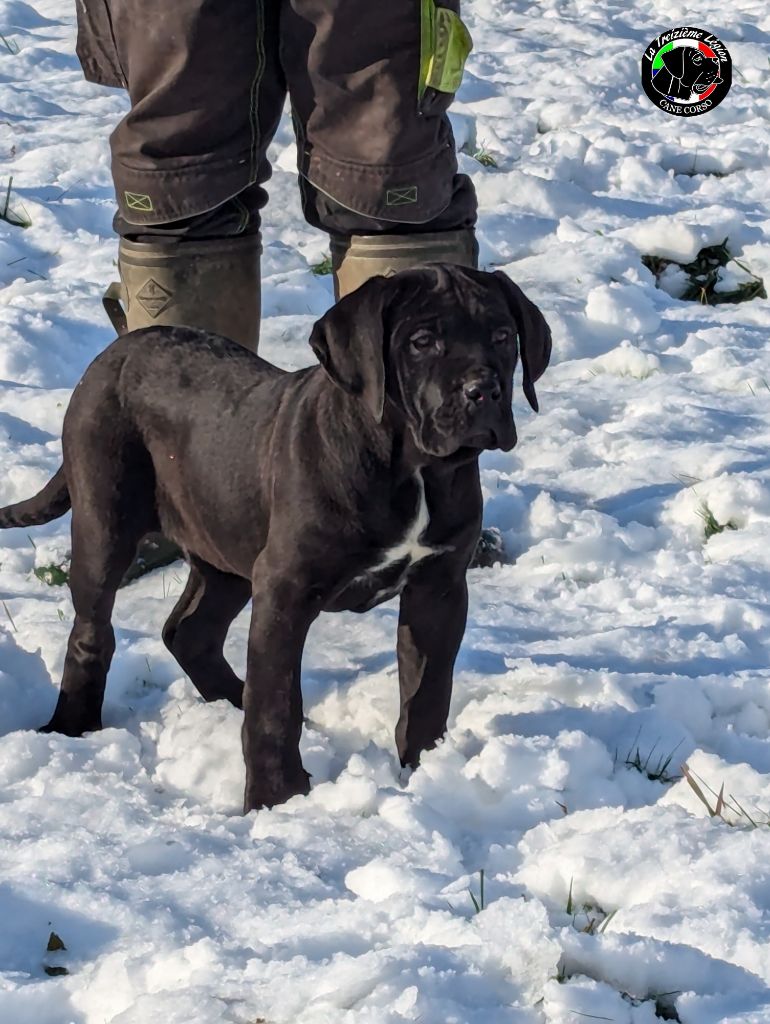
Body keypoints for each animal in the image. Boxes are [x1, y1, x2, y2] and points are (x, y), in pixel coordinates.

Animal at [1, 268, 552, 811]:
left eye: (503, 336)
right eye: (421, 342)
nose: (483, 390)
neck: (412, 466)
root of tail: (112, 353)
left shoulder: (439, 587)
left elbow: (428, 688)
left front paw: (422, 767)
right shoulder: (286, 587)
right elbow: (276, 702)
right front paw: (275, 798)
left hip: (225, 546)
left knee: (189, 631)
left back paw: (230, 699)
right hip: (105, 521)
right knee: (93, 630)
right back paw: (72, 727)